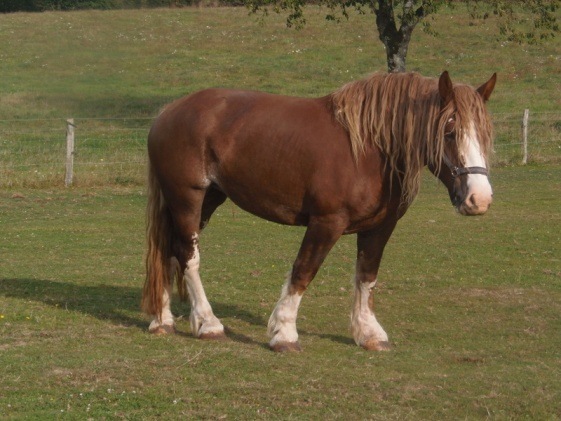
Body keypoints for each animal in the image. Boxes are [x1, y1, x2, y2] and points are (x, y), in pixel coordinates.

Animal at [142, 70, 496, 352]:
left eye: (484, 134)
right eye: (448, 132)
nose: (478, 199)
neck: (369, 148)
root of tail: (169, 112)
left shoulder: (380, 227)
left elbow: (367, 276)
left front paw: (369, 333)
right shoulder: (327, 222)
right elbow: (304, 271)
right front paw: (284, 334)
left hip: (209, 199)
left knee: (169, 250)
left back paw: (162, 320)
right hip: (187, 198)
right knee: (188, 256)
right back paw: (208, 324)